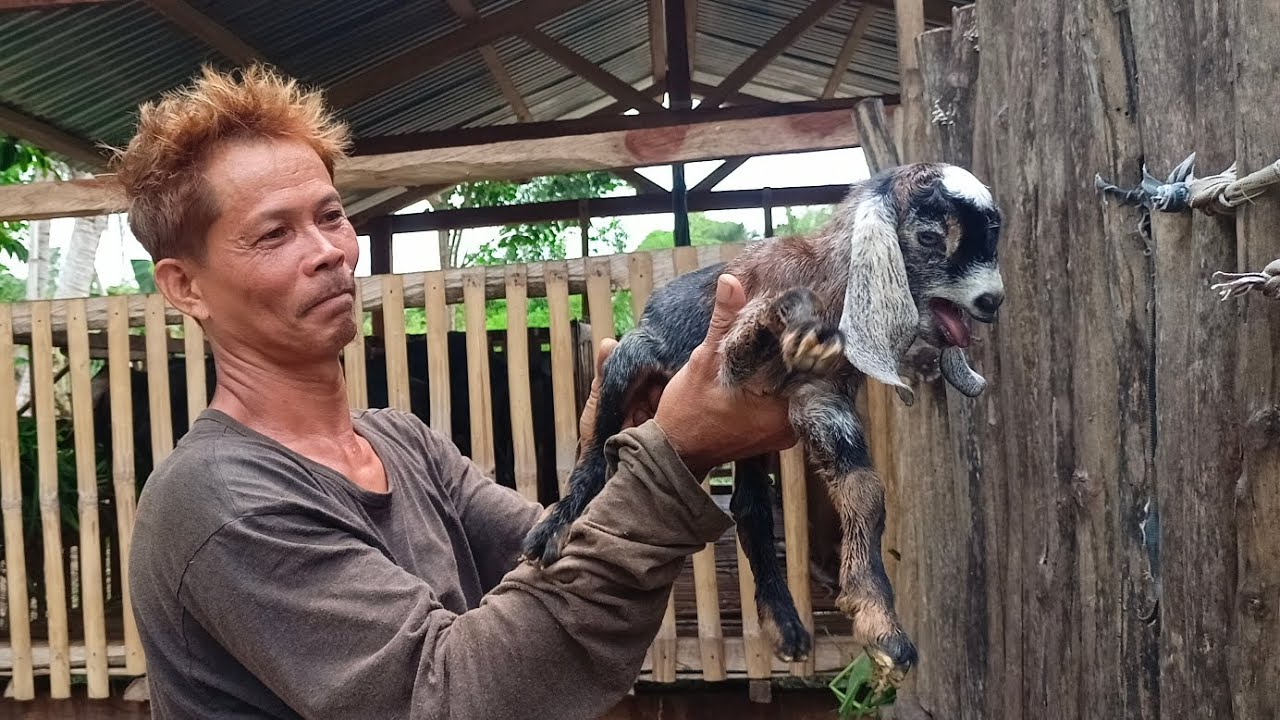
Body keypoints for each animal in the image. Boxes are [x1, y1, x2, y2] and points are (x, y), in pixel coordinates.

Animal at [521, 162, 1005, 676]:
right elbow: (753, 330)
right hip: (629, 357)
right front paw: (794, 319)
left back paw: (785, 624)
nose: (991, 299)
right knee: (594, 452)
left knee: (750, 507)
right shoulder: (728, 367)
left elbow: (866, 493)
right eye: (930, 236)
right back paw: (552, 531)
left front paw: (882, 627)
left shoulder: (820, 397)